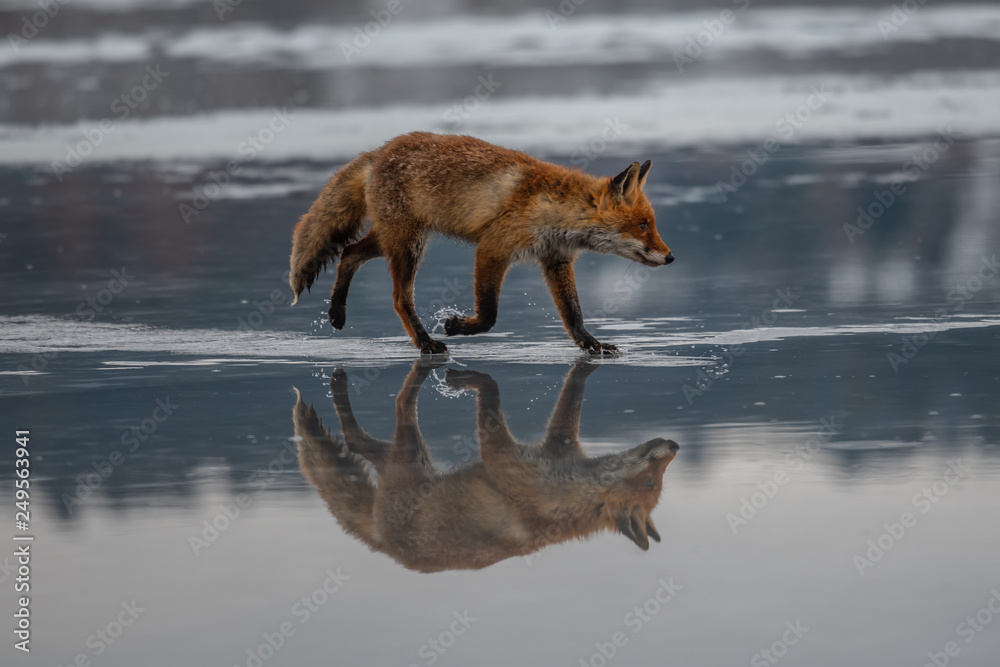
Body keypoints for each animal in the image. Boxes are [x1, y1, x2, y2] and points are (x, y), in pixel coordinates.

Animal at [288, 131, 675, 355]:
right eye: (643, 226)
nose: (671, 257)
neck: (553, 209)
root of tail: (378, 151)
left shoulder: (555, 259)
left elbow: (573, 315)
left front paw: (592, 345)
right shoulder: (493, 249)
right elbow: (489, 316)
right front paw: (458, 327)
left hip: (393, 239)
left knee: (349, 253)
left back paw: (337, 313)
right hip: (408, 245)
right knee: (399, 297)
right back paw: (425, 342)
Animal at [293, 360, 679, 573]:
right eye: (652, 481)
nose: (675, 446)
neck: (567, 494)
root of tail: (386, 549)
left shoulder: (501, 455)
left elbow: (490, 387)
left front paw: (471, 380)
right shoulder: (557, 443)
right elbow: (574, 390)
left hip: (407, 457)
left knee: (389, 413)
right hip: (406, 458)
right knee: (358, 441)